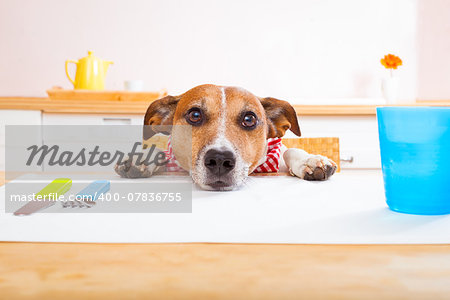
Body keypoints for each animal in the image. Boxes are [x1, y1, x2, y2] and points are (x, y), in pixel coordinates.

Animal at [114, 84, 336, 190]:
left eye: (249, 119)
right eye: (195, 115)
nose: (220, 159)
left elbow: (289, 150)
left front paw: (311, 160)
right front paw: (142, 159)